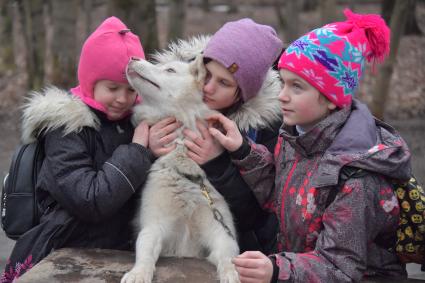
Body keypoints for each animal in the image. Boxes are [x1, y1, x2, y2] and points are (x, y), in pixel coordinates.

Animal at [121, 53, 240, 283]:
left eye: (170, 70)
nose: (132, 58)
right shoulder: (153, 227)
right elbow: (145, 252)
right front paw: (138, 273)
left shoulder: (222, 231)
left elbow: (229, 258)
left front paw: (231, 274)